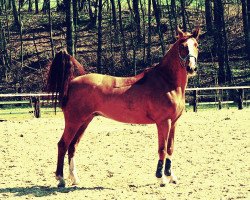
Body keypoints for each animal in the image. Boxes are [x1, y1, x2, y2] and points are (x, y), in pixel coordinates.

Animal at [46, 27, 199, 188]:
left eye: (196, 45)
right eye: (182, 46)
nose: (191, 68)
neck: (166, 82)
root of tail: (72, 81)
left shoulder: (174, 122)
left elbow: (170, 148)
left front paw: (171, 176)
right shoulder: (163, 122)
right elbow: (162, 149)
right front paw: (161, 179)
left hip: (84, 121)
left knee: (72, 146)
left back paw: (74, 178)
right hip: (73, 122)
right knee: (63, 145)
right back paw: (61, 179)